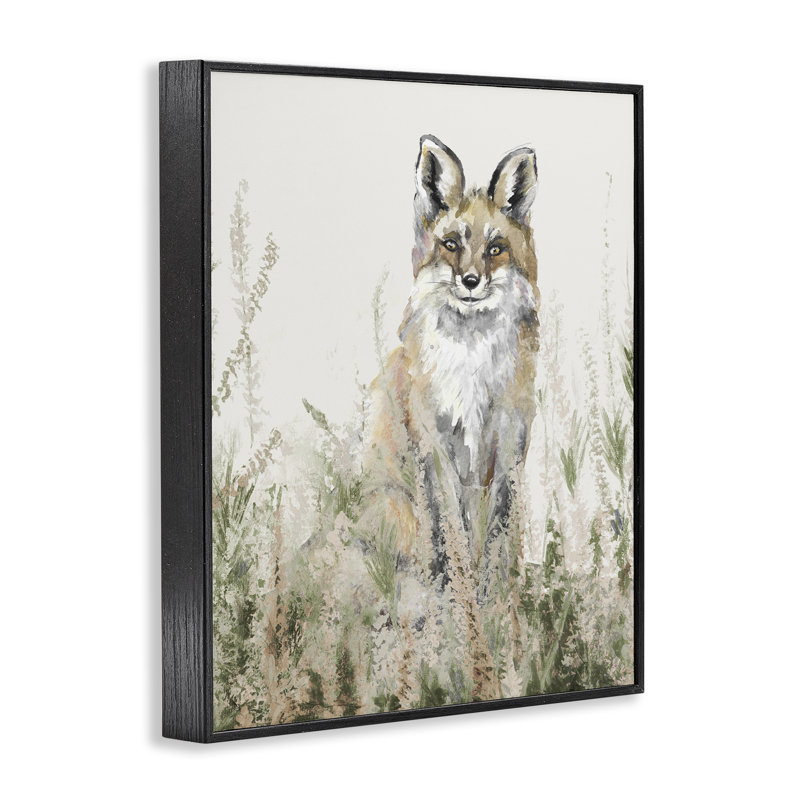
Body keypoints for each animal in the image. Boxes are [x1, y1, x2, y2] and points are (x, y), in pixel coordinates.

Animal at [364, 135, 540, 599]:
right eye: (451, 244)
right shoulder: (435, 439)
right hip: (394, 502)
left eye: (495, 249)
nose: (471, 282)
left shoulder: (509, 438)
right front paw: (460, 588)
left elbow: (497, 527)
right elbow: (453, 527)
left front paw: (492, 593)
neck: (471, 361)